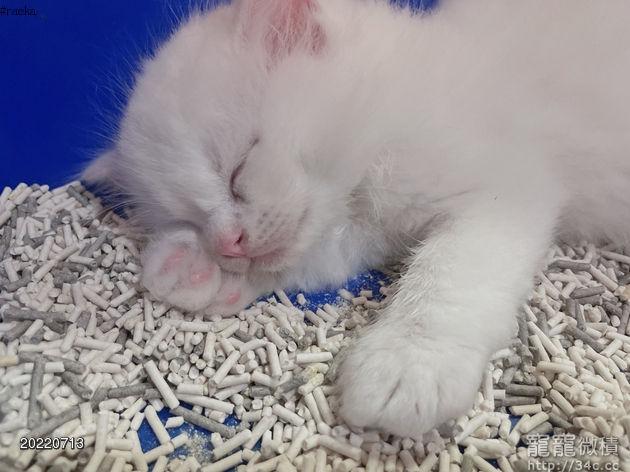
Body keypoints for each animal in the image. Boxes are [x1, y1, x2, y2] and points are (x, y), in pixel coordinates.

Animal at [84, 0, 630, 437]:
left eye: (237, 172)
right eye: (191, 218)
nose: (228, 243)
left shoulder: (507, 191)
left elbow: (448, 274)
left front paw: (408, 365)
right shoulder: (357, 232)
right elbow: (310, 260)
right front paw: (192, 268)